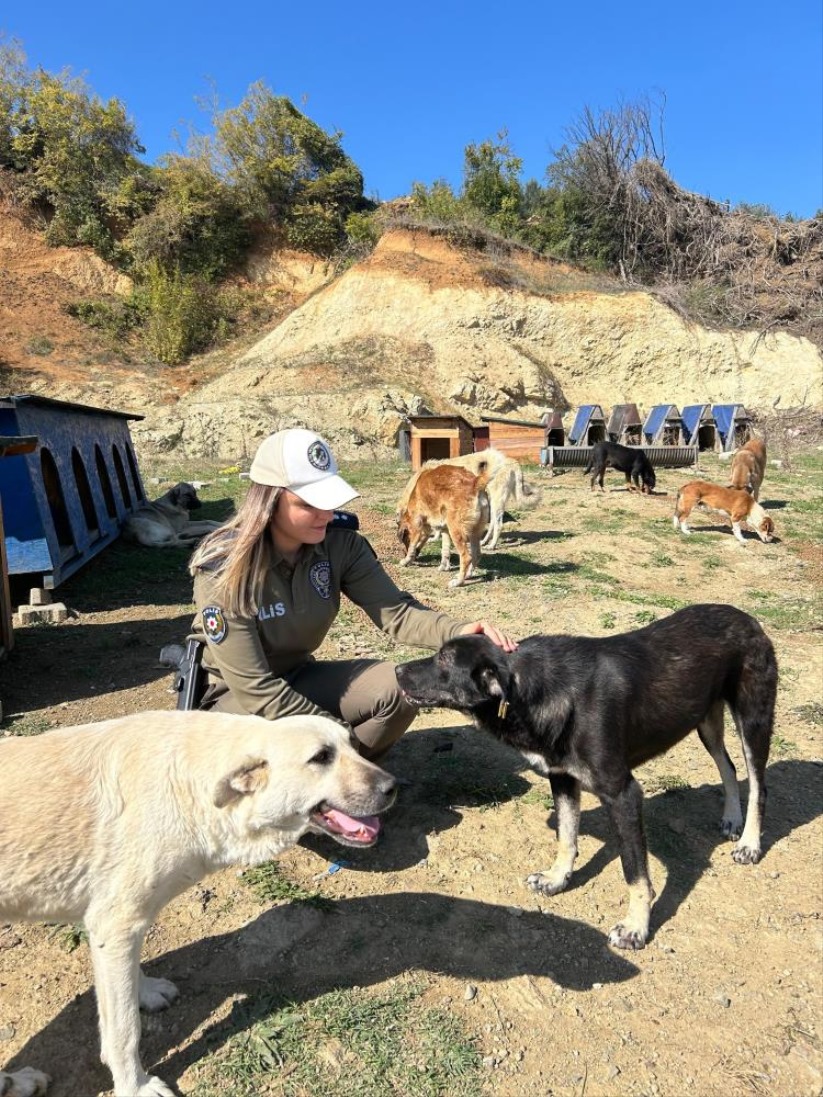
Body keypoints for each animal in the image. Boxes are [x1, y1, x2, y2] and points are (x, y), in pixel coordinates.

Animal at [0, 706, 399, 1092]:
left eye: (352, 745)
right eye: (321, 757)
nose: (393, 786)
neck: (189, 785)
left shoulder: (114, 928)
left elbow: (129, 980)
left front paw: (145, 991)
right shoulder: (116, 924)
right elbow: (123, 1030)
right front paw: (135, 1085)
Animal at [397, 601, 776, 952]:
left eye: (445, 660)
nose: (398, 669)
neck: (531, 689)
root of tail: (747, 617)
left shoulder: (623, 794)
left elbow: (635, 873)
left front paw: (636, 927)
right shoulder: (562, 778)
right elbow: (566, 836)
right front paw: (556, 878)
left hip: (753, 720)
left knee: (758, 785)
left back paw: (749, 843)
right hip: (705, 721)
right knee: (728, 768)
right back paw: (732, 819)